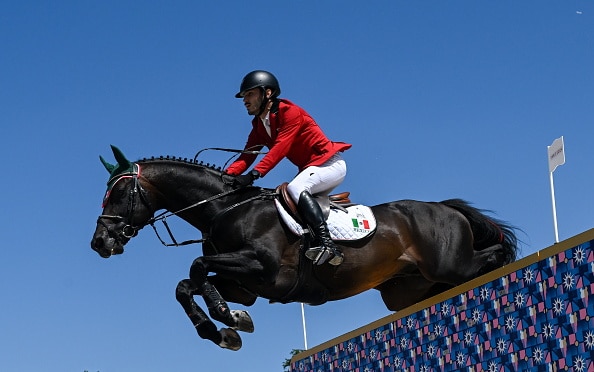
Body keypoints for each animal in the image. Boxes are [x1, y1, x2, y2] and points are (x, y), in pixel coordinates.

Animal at [90, 146, 516, 352]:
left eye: (119, 195)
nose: (100, 243)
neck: (224, 208)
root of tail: (446, 208)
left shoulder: (262, 269)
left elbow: (195, 266)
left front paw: (229, 319)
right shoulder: (244, 285)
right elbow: (186, 284)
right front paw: (224, 329)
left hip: (449, 265)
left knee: (489, 258)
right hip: (406, 289)